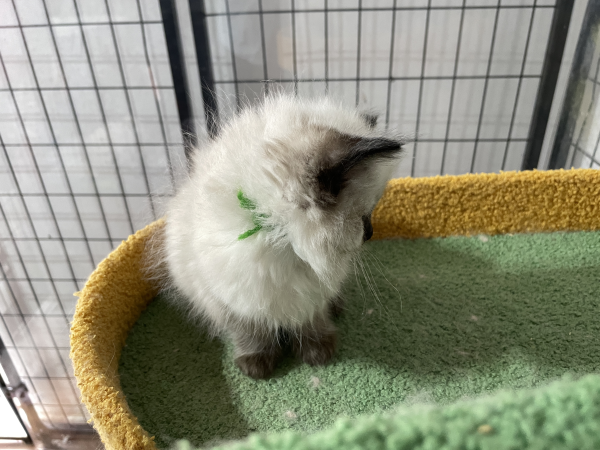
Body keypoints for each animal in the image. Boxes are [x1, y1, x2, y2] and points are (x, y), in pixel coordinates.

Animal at [163, 96, 404, 380]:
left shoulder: (312, 294)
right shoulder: (233, 301)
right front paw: (257, 366)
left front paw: (318, 353)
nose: (371, 233)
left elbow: (312, 322)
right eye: (365, 217)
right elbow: (252, 334)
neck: (283, 241)